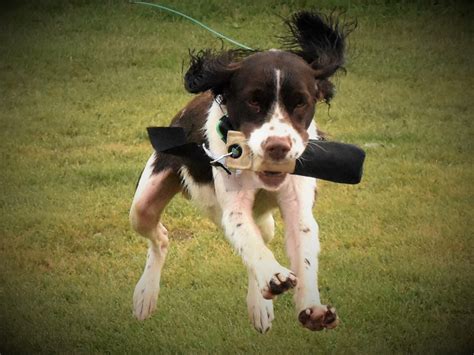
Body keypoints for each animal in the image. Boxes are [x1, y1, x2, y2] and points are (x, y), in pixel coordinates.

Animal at [129, 11, 352, 334]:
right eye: (254, 101)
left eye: (300, 102)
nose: (277, 147)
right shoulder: (233, 207)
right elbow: (249, 242)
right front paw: (274, 276)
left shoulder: (298, 205)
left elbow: (303, 252)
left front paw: (313, 308)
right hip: (144, 203)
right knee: (160, 238)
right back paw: (145, 295)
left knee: (261, 235)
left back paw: (260, 305)